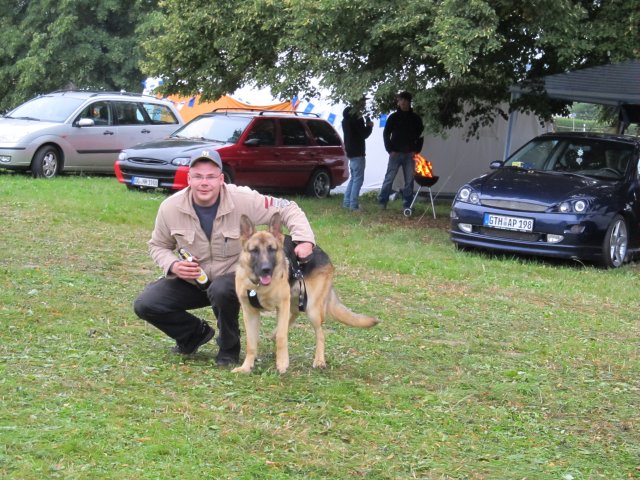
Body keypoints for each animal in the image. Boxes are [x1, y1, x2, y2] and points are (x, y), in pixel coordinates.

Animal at [232, 214, 378, 376]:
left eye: (272, 250)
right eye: (254, 251)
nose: (266, 269)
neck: (258, 287)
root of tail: (321, 251)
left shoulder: (282, 304)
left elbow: (282, 337)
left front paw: (282, 363)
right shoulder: (250, 313)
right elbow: (251, 343)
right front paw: (246, 367)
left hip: (312, 309)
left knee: (319, 333)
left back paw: (319, 360)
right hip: (296, 299)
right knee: (294, 314)